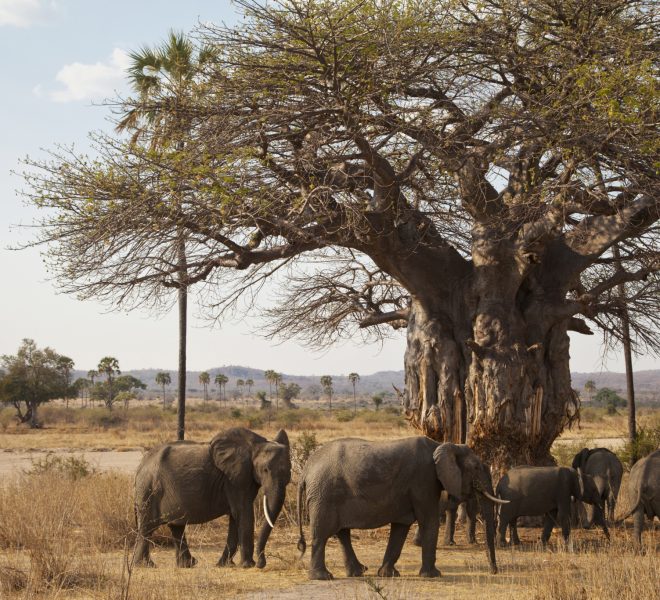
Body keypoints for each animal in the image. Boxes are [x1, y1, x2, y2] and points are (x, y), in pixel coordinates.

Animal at [133, 427, 291, 569]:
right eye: (265, 470)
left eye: (289, 471)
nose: (261, 563)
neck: (257, 445)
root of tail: (141, 464)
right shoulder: (234, 479)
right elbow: (243, 512)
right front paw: (247, 565)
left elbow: (236, 516)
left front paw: (225, 565)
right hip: (148, 489)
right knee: (147, 527)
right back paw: (145, 565)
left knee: (176, 527)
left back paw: (187, 565)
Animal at [296, 437, 507, 580]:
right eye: (477, 467)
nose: (494, 571)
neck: (443, 445)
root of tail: (306, 470)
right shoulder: (423, 480)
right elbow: (428, 521)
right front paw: (433, 575)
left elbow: (400, 527)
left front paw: (388, 574)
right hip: (324, 495)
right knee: (322, 534)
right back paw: (323, 577)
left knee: (342, 533)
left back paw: (358, 572)